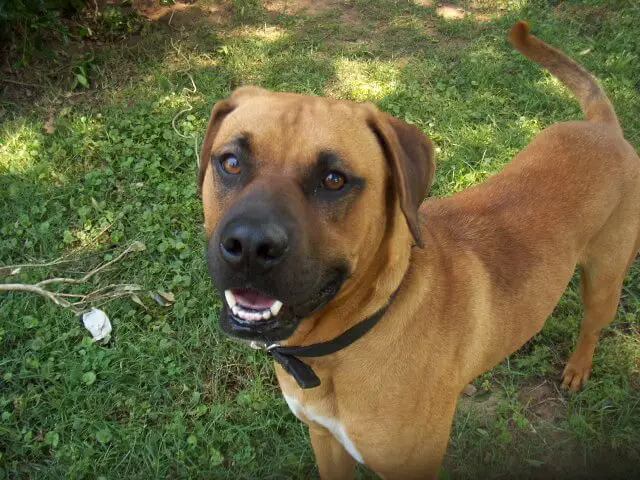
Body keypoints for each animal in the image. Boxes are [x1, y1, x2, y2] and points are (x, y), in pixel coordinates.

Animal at [200, 22, 640, 480]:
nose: (250, 246)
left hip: (604, 281)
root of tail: (604, 127)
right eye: (230, 162)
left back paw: (578, 368)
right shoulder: (325, 440)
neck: (348, 339)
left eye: (334, 179)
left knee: (592, 326)